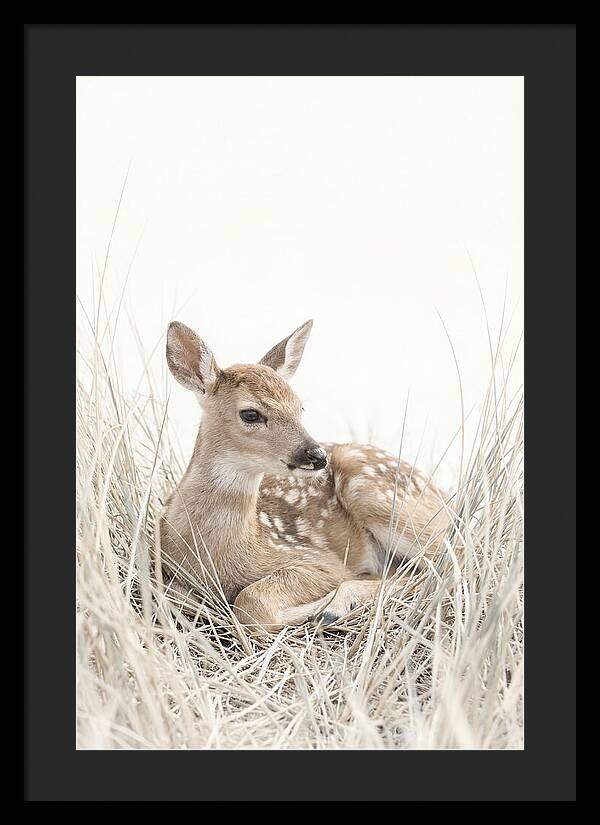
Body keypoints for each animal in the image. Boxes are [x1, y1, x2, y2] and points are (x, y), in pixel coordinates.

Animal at [159, 319, 450, 633]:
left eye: (300, 407)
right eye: (250, 414)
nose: (317, 455)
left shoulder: (319, 560)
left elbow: (251, 603)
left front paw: (312, 610)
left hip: (373, 492)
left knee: (446, 562)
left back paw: (334, 607)